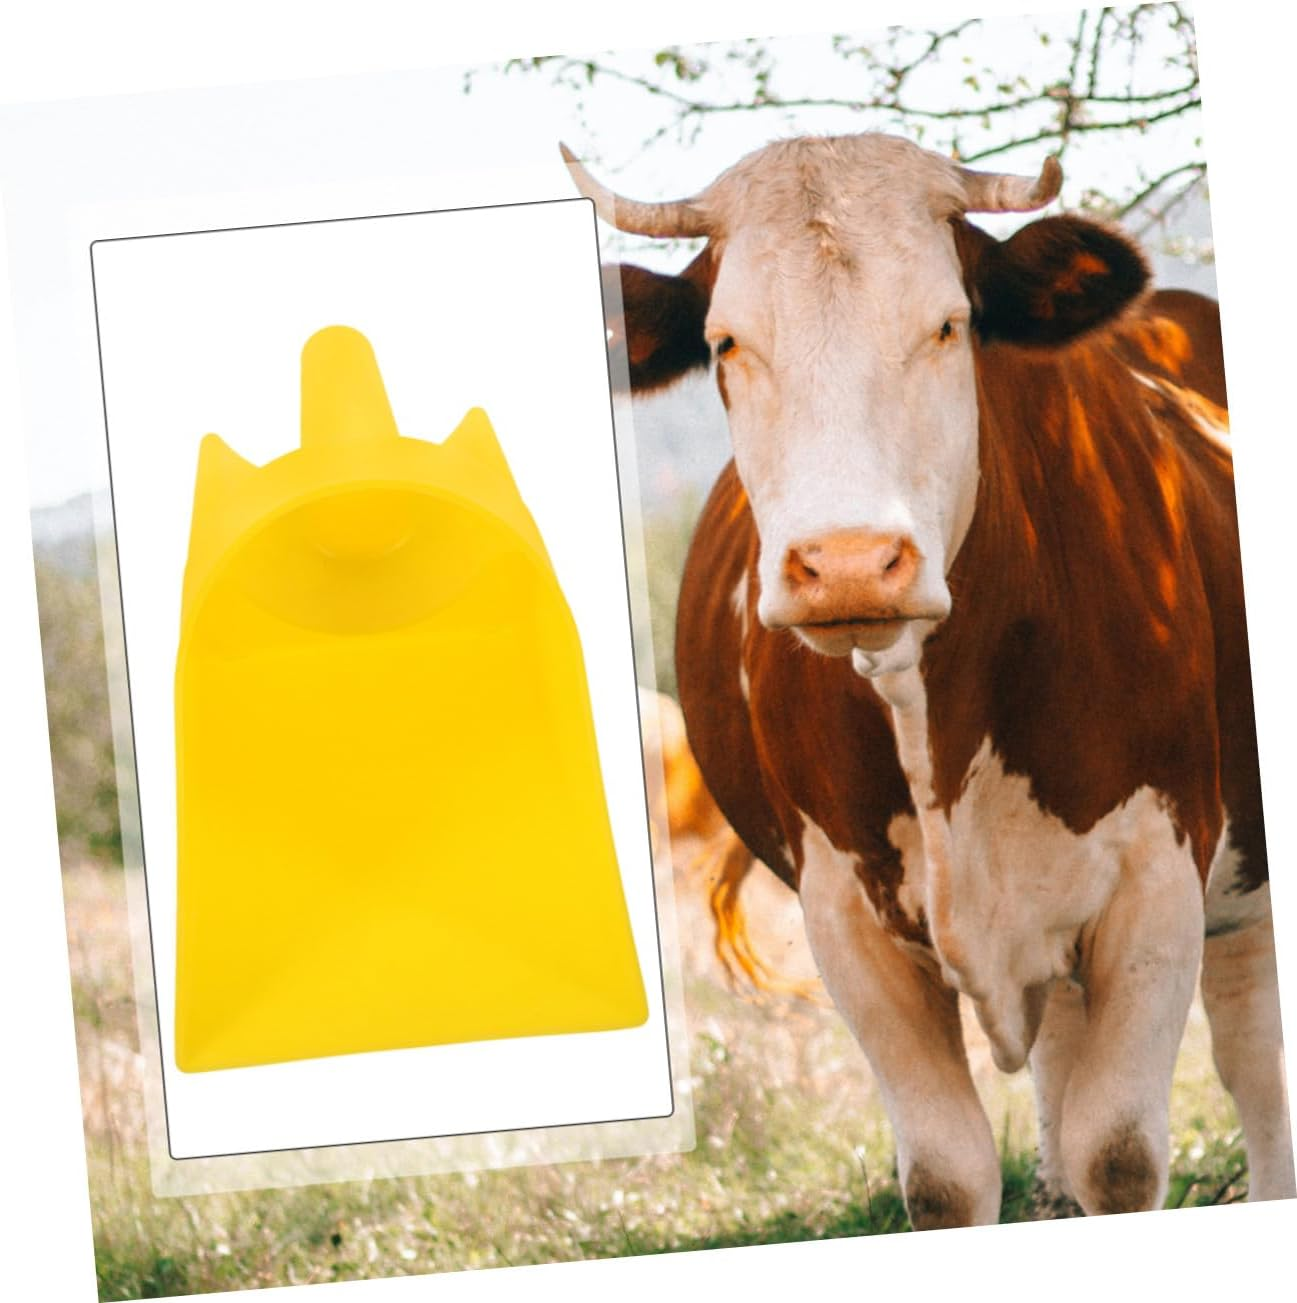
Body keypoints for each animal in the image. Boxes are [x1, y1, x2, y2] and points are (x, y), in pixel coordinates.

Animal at [564, 132, 1295, 1226]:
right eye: (726, 342)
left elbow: (1118, 1154)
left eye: (949, 323)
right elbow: (948, 1178)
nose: (849, 563)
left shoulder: (1157, 877)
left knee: (1251, 1049)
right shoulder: (843, 914)